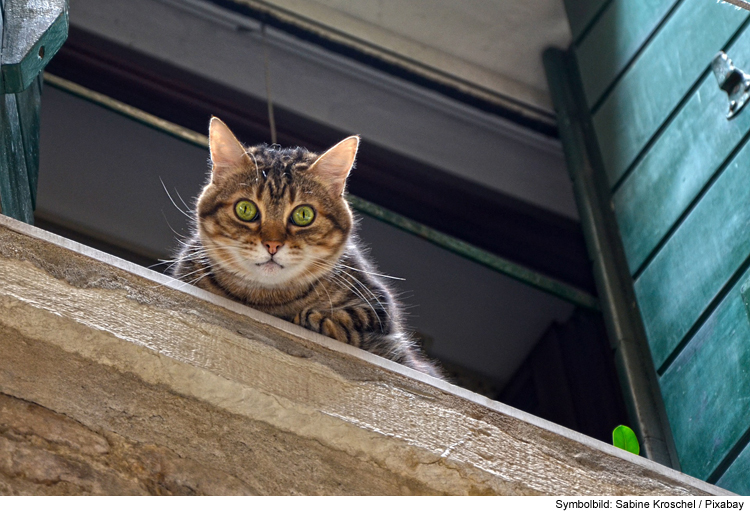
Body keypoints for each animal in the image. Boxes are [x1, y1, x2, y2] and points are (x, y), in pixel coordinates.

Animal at [167, 116, 444, 378]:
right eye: (245, 209)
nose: (273, 244)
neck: (267, 302)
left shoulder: (378, 304)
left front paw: (318, 319)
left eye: (303, 215)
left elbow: (353, 318)